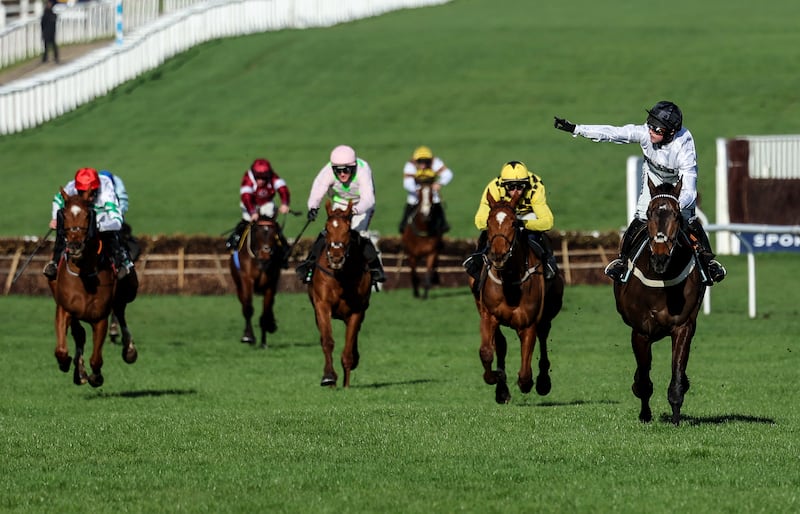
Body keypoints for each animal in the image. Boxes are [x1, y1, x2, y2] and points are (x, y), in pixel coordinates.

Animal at [47, 187, 138, 384]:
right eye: (64, 214)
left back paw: (129, 350)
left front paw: (96, 377)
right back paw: (79, 371)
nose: (74, 245)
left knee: (120, 312)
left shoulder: (100, 317)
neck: (84, 277)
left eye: (88, 215)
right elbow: (62, 349)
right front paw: (67, 364)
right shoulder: (64, 309)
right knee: (80, 334)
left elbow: (96, 359)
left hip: (126, 292)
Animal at [228, 214, 284, 346]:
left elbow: (266, 310)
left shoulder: (271, 283)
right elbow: (248, 308)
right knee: (244, 304)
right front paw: (248, 336)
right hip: (239, 286)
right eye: (257, 230)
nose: (265, 254)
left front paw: (265, 338)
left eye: (274, 231)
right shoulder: (247, 280)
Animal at [308, 198, 374, 386]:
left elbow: (348, 351)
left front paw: (346, 385)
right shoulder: (322, 305)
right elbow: (327, 341)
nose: (336, 257)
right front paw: (329, 377)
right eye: (328, 227)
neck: (341, 277)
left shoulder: (356, 310)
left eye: (347, 229)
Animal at [466, 192, 564, 404]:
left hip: (548, 314)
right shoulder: (488, 316)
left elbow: (526, 370)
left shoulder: (529, 323)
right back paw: (502, 388)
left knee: (543, 337)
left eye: (512, 223)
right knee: (501, 345)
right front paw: (495, 378)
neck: (509, 279)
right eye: (488, 222)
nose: (498, 256)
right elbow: (486, 352)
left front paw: (529, 383)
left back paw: (543, 381)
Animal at [616, 177, 704, 424]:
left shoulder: (683, 326)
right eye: (649, 213)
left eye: (677, 215)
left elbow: (677, 374)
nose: (660, 258)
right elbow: (644, 380)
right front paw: (645, 414)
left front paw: (675, 416)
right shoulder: (641, 331)